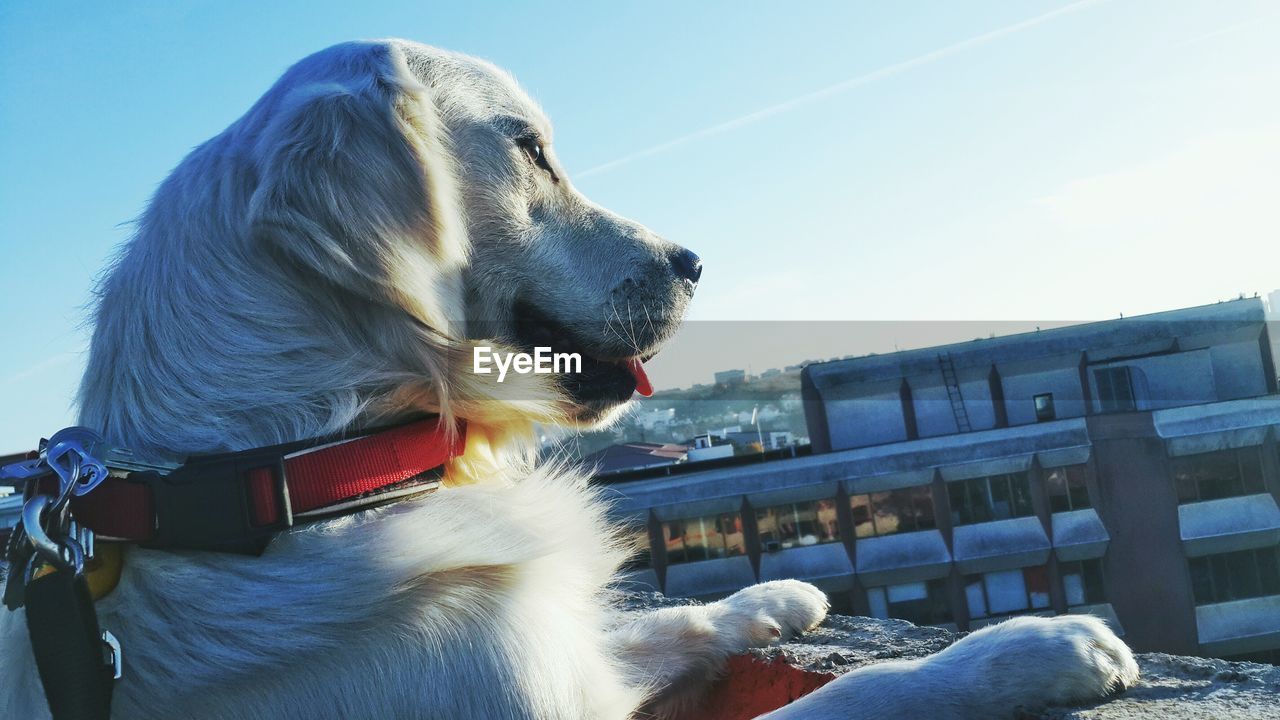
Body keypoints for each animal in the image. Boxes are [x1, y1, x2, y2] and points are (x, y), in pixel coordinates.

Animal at [0, 40, 1141, 717]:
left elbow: (666, 621)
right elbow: (847, 703)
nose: (693, 262)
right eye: (530, 150)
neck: (307, 471)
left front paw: (768, 600)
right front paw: (1033, 651)